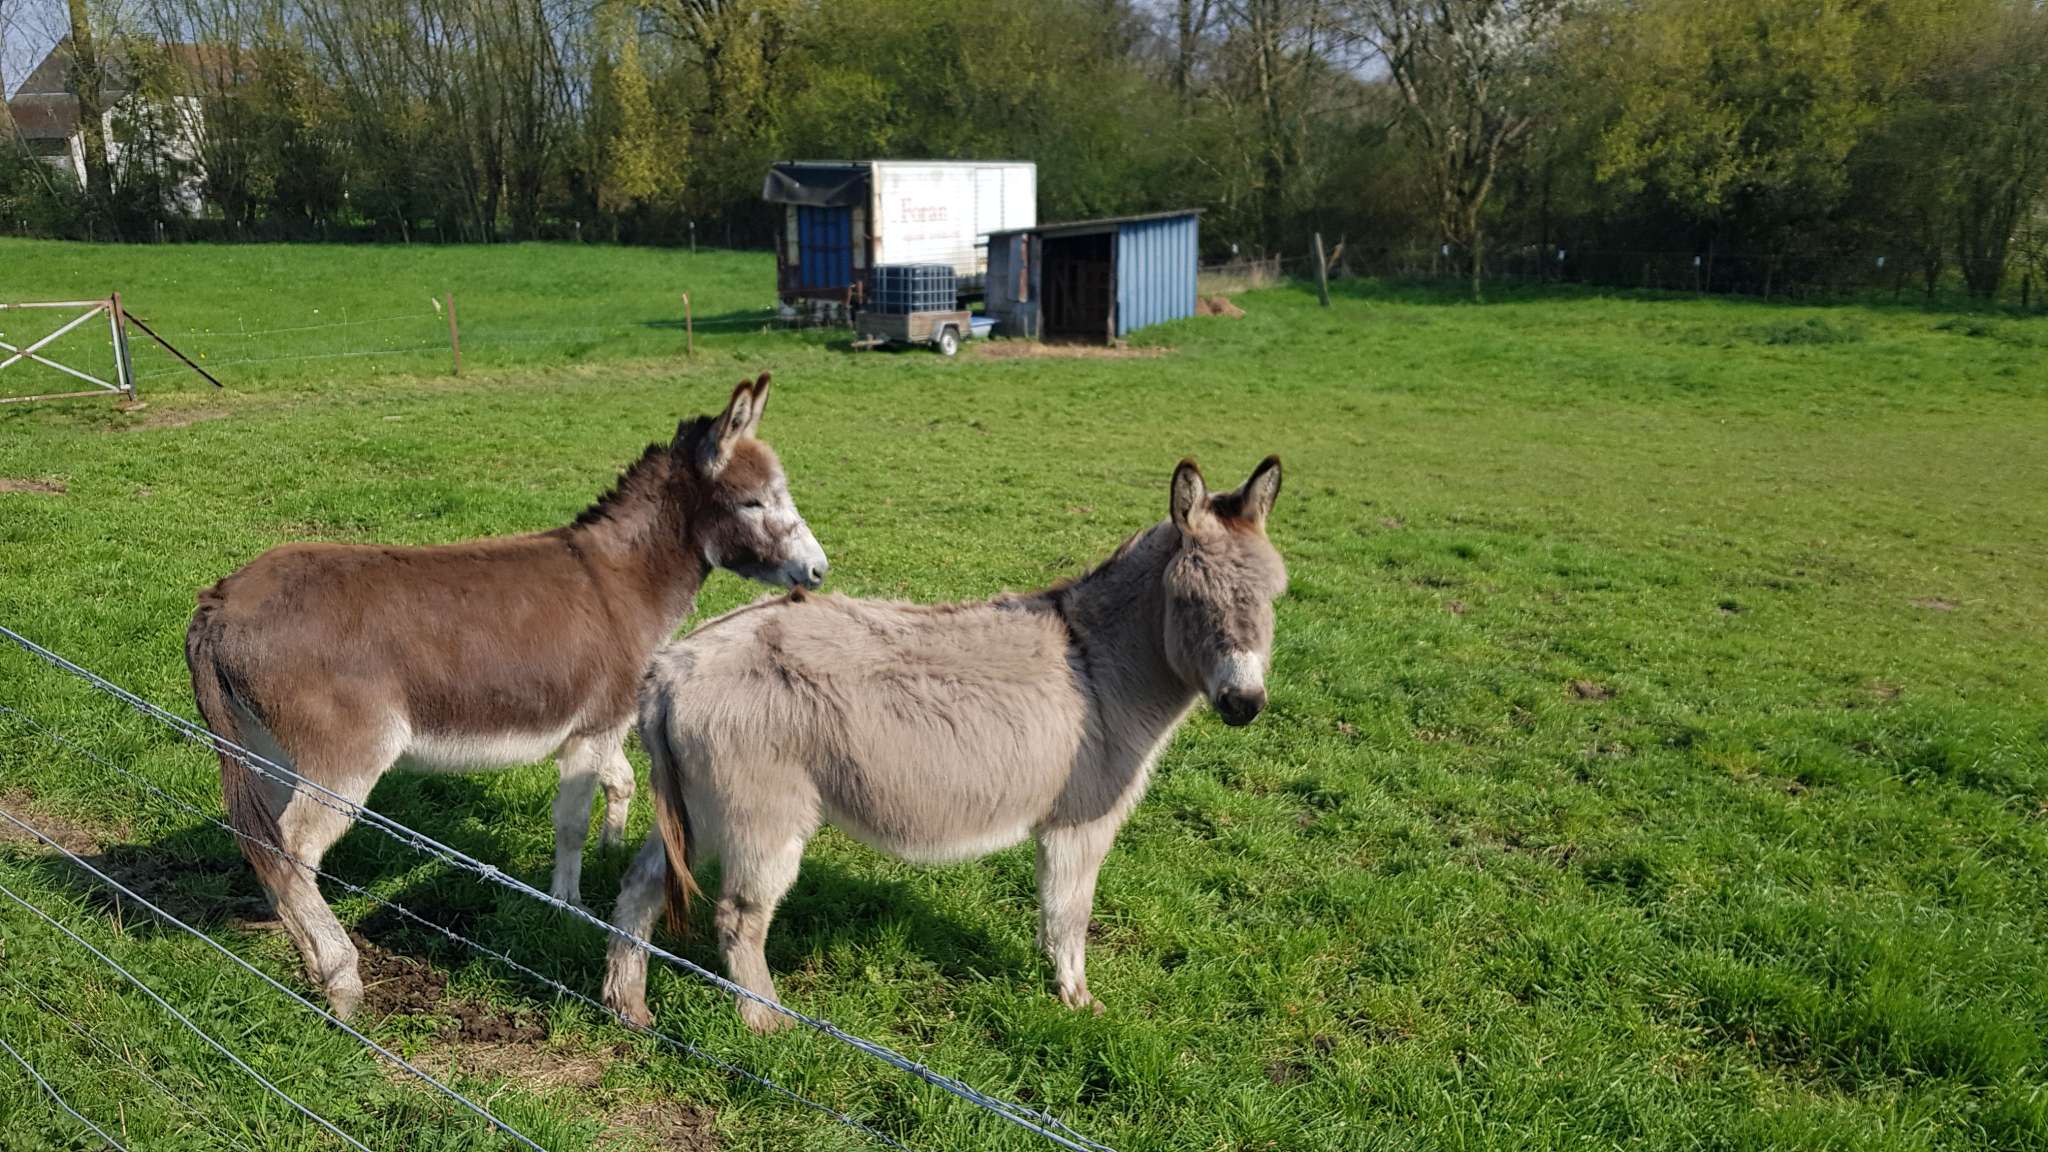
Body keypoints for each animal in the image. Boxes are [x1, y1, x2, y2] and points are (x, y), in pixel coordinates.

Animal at [185, 374, 826, 1018]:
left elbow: (617, 782)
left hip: (265, 748)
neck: (623, 583)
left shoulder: (604, 725)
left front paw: (610, 851)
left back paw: (293, 934)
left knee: (262, 840)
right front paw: (568, 906)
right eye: (754, 502)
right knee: (293, 846)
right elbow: (570, 820)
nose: (819, 572)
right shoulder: (594, 728)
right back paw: (339, 976)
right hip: (346, 759)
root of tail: (219, 602)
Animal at [603, 455, 1285, 1031]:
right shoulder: (1081, 822)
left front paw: (1057, 986)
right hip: (760, 816)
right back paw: (770, 1024)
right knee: (739, 918)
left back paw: (626, 1004)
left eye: (1276, 597)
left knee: (642, 884)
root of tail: (671, 667)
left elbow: (1053, 911)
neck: (1098, 662)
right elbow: (1071, 914)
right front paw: (1078, 1002)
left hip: (694, 808)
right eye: (1189, 598)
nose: (1245, 704)